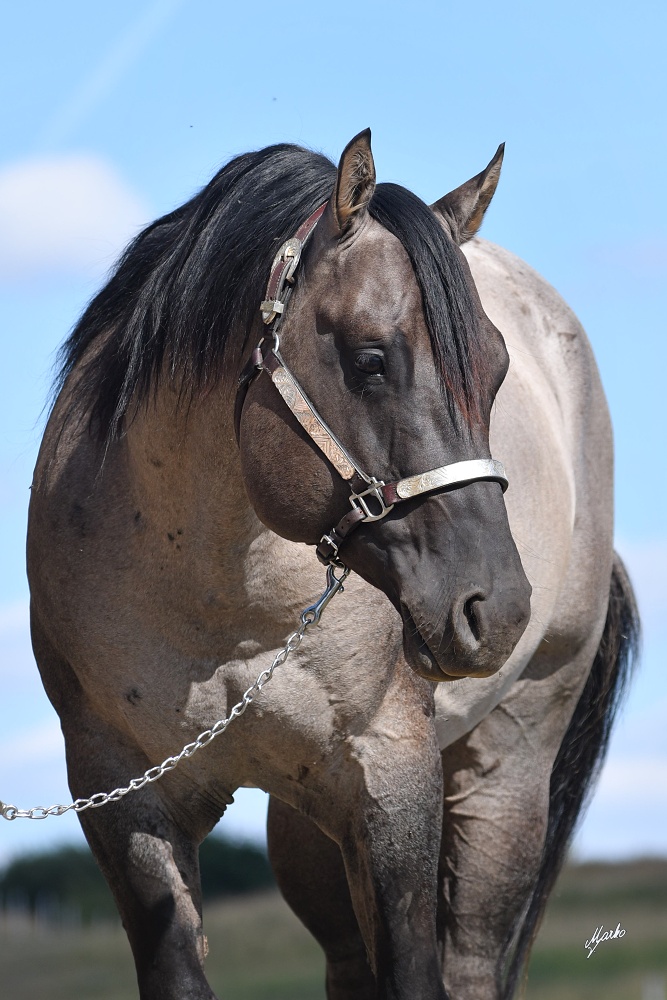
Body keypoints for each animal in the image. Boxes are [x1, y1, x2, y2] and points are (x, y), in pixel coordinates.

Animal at [26, 129, 640, 996]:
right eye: (370, 359)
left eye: (495, 369)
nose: (496, 610)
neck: (217, 595)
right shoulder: (119, 791)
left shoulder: (390, 779)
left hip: (506, 778)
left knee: (470, 957)